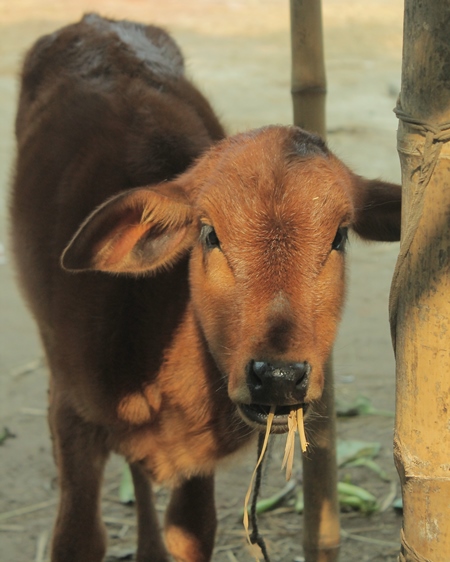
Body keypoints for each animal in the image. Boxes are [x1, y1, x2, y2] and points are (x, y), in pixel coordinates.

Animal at [9, 12, 400, 560]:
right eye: (210, 234)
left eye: (340, 236)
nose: (278, 377)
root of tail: (94, 20)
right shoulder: (72, 415)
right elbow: (77, 538)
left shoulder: (199, 461)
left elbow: (192, 531)